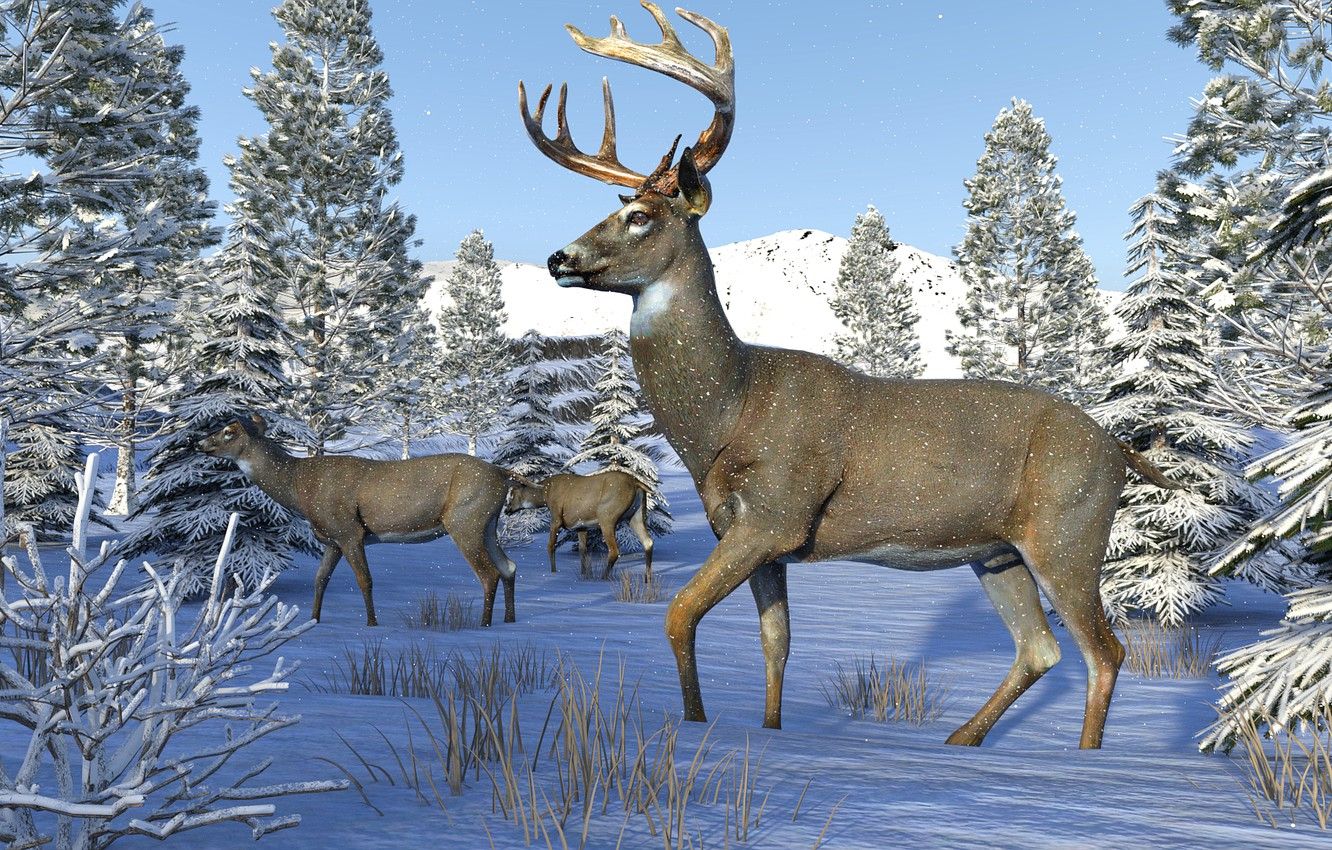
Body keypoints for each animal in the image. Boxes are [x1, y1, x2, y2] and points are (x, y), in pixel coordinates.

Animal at [196, 415, 519, 628]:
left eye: (228, 431)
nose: (199, 442)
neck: (299, 487)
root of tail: (503, 474)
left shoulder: (349, 530)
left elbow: (365, 580)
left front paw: (372, 624)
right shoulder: (331, 539)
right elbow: (320, 579)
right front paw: (314, 620)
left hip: (465, 520)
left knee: (489, 573)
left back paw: (484, 625)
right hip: (488, 524)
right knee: (509, 567)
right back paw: (509, 620)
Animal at [506, 469, 654, 579]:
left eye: (511, 495)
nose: (507, 511)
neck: (545, 494)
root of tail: (636, 483)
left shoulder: (556, 518)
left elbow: (550, 546)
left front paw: (553, 573)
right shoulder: (582, 526)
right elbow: (583, 551)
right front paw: (583, 575)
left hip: (607, 516)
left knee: (614, 551)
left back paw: (603, 578)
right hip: (636, 515)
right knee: (648, 542)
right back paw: (647, 580)